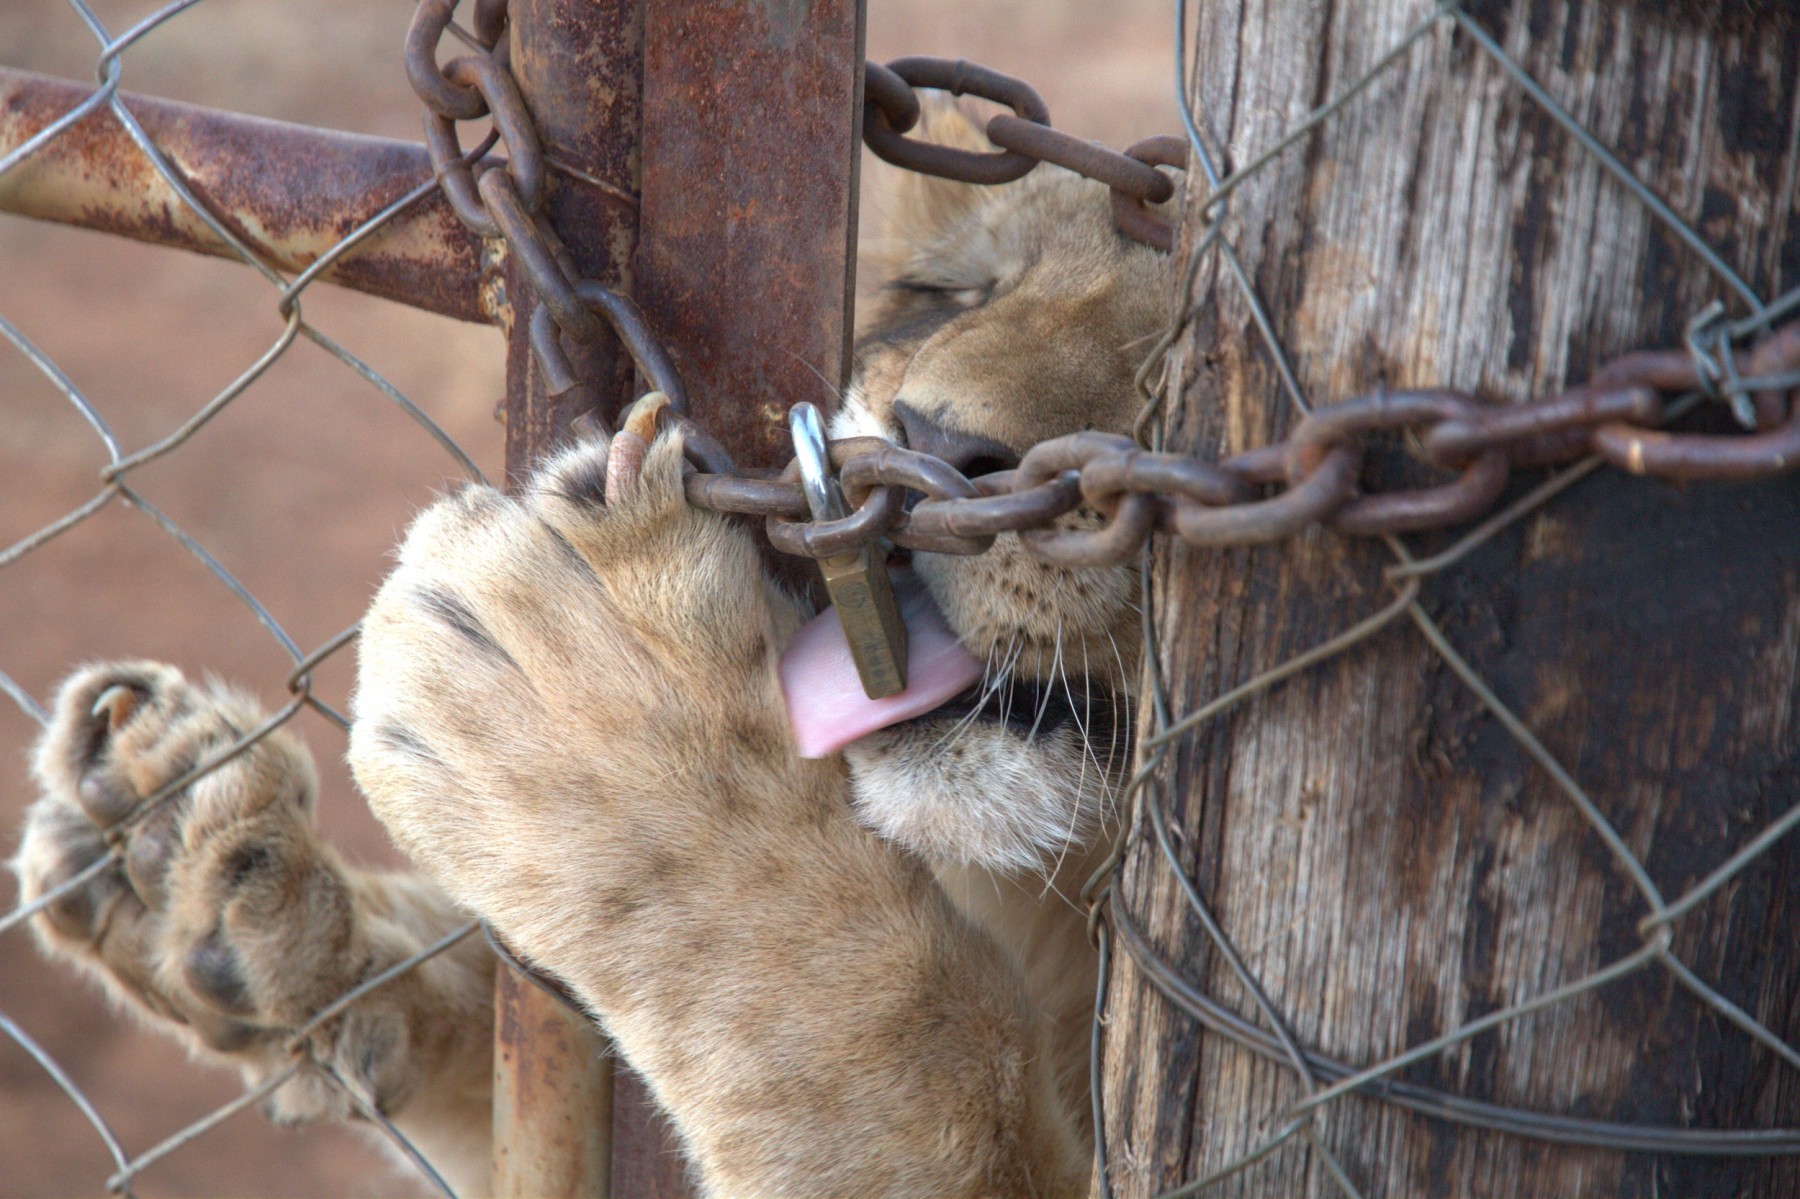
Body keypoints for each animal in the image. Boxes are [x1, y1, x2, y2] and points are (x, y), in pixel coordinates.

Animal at [14, 107, 1180, 1188]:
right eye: (949, 293)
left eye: (1174, 372)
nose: (928, 443)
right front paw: (194, 868)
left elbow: (891, 1032)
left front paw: (601, 724)